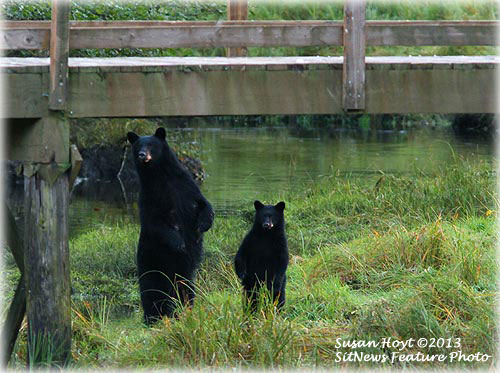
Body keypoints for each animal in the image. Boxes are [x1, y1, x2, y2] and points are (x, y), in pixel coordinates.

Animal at [126, 127, 214, 322]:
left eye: (151, 144)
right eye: (138, 146)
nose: (142, 155)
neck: (158, 175)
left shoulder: (185, 185)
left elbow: (204, 204)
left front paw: (201, 226)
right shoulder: (149, 197)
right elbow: (155, 223)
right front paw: (179, 243)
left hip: (184, 274)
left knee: (186, 289)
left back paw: (185, 310)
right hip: (151, 264)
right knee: (152, 292)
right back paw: (153, 317)